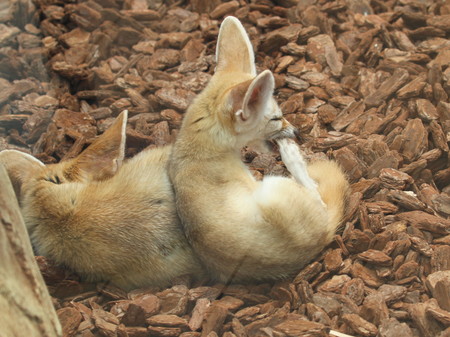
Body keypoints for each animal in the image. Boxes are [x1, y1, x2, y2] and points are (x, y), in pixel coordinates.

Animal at [167, 17, 350, 282]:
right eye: (275, 118)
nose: (297, 132)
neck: (196, 150)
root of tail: (321, 238)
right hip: (276, 187)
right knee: (316, 195)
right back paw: (291, 155)